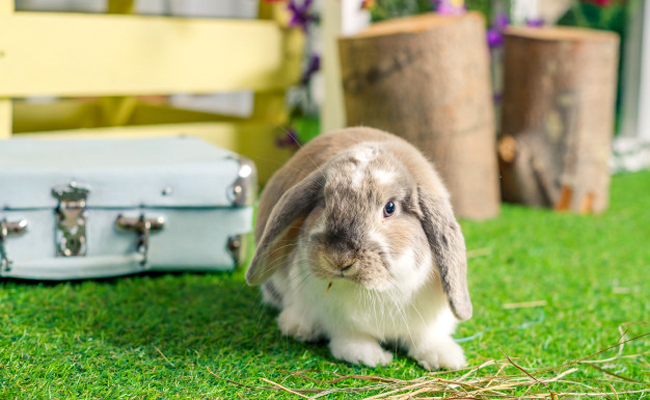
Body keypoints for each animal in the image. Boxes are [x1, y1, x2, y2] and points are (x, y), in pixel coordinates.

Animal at [246, 127, 468, 368]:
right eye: (324, 201)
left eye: (390, 207)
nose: (339, 258)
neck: (377, 292)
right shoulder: (341, 321)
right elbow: (352, 340)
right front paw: (372, 357)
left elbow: (427, 338)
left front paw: (446, 359)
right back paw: (298, 327)